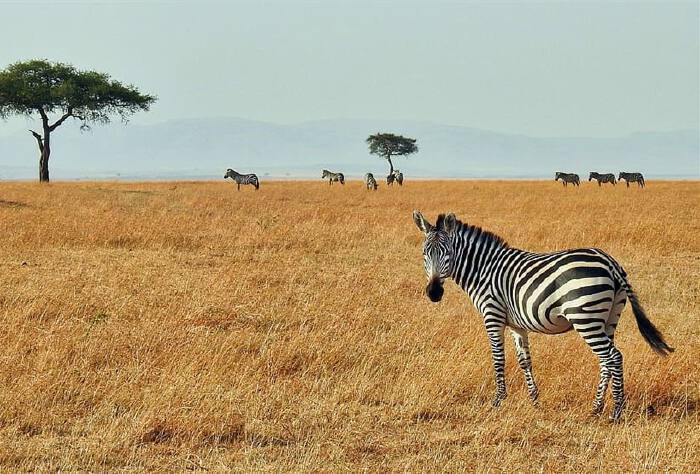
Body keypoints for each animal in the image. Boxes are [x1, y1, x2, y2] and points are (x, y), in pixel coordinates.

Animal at [412, 213, 676, 420]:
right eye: (425, 253)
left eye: (447, 252)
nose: (434, 293)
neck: (483, 270)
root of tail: (610, 262)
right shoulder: (516, 324)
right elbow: (524, 361)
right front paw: (534, 401)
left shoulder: (493, 315)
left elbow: (498, 360)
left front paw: (498, 401)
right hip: (609, 317)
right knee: (606, 360)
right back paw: (596, 408)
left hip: (585, 317)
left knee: (613, 357)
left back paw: (616, 412)